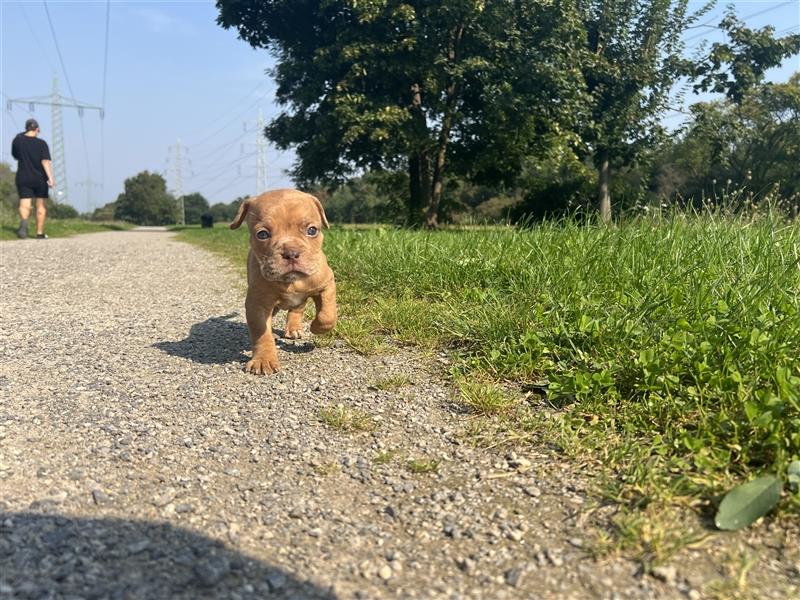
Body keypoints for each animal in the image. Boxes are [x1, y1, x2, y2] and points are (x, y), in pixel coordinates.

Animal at [230, 189, 336, 376]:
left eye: (312, 230)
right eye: (262, 234)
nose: (291, 253)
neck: (291, 282)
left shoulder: (326, 284)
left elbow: (327, 315)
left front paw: (316, 327)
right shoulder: (257, 304)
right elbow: (261, 332)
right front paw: (263, 360)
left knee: (297, 310)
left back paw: (294, 329)